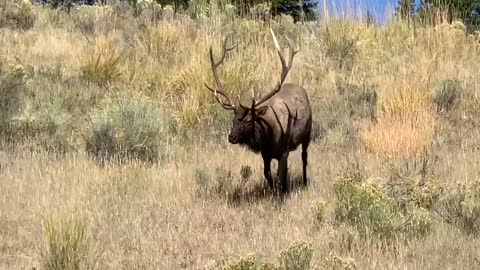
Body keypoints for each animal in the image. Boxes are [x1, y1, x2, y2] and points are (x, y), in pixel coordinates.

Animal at [204, 29, 314, 194]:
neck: (269, 136)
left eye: (249, 120)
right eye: (234, 119)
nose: (231, 137)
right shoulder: (265, 154)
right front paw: (275, 191)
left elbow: (279, 177)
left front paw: (279, 195)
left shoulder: (283, 151)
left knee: (304, 158)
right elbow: (268, 175)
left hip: (308, 133)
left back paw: (305, 182)